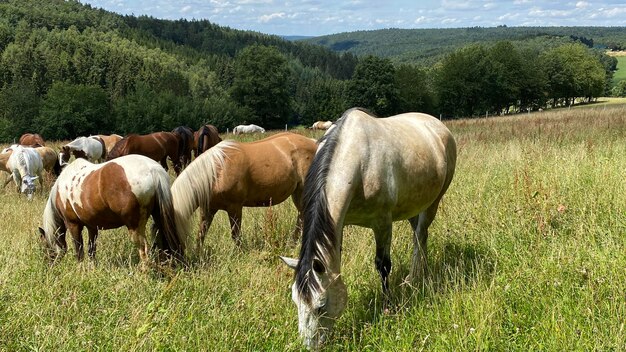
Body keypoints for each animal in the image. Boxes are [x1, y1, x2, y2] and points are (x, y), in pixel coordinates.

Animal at [38, 155, 184, 266]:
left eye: (44, 246)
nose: (49, 265)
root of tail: (152, 169)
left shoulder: (73, 225)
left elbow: (79, 251)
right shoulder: (92, 227)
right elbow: (91, 250)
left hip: (135, 227)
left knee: (143, 249)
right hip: (159, 219)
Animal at [171, 133, 314, 248]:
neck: (217, 172)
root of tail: (313, 142)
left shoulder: (235, 208)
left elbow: (236, 235)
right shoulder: (208, 209)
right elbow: (201, 234)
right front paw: (198, 254)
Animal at [280, 108, 456, 350]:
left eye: (321, 306)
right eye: (295, 301)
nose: (310, 346)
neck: (358, 163)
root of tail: (438, 125)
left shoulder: (382, 222)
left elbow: (383, 266)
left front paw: (388, 306)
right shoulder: (338, 224)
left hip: (433, 201)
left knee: (420, 234)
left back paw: (413, 278)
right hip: (414, 203)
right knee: (420, 235)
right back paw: (421, 273)